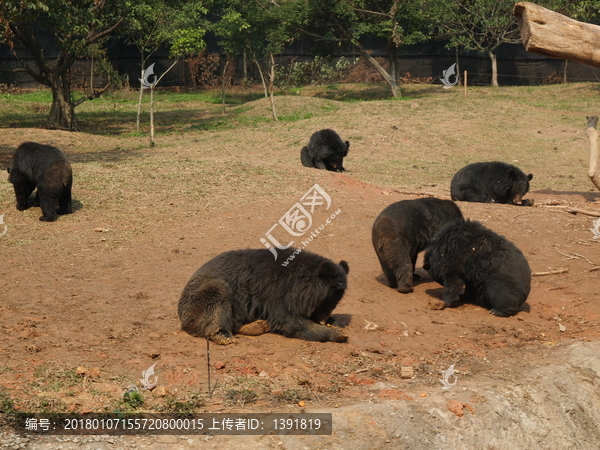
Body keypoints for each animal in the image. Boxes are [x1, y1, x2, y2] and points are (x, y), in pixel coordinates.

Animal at [176, 248, 350, 342]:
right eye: (325, 303)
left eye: (334, 304)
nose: (323, 319)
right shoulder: (277, 292)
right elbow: (288, 320)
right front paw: (338, 334)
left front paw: (335, 324)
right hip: (202, 296)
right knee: (217, 297)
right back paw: (224, 336)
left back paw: (257, 325)